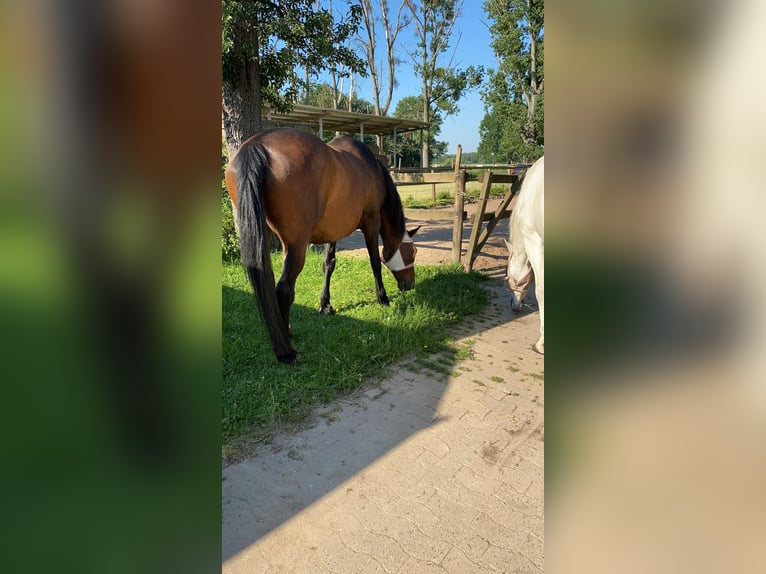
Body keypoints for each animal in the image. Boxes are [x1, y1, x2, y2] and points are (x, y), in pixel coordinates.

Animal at [225, 129, 424, 366]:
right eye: (411, 252)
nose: (409, 284)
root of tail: (257, 144)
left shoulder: (333, 231)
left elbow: (329, 265)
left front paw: (325, 305)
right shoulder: (371, 223)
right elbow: (375, 262)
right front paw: (382, 297)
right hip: (297, 245)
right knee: (284, 290)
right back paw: (286, 349)